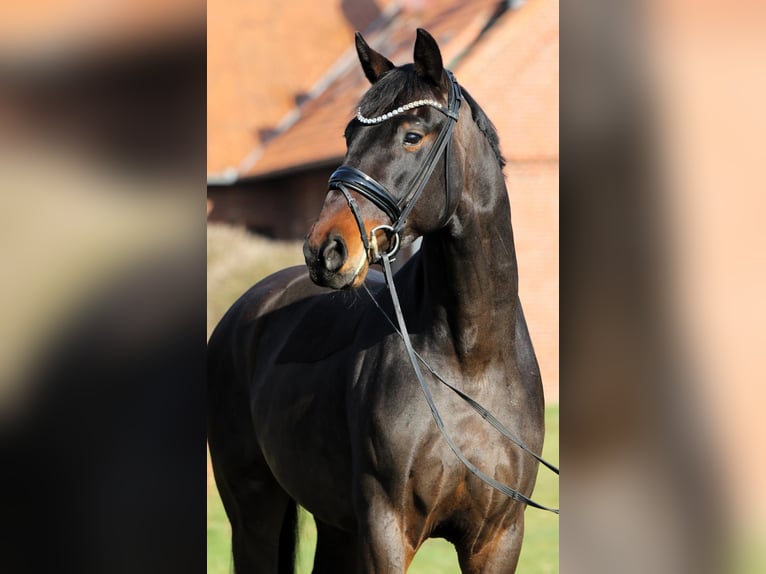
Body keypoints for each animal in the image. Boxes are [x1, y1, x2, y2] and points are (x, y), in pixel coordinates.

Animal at [208, 29, 544, 572]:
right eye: (349, 135)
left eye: (412, 135)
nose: (324, 249)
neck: (471, 360)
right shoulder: (386, 528)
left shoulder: (497, 538)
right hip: (253, 512)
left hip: (336, 526)